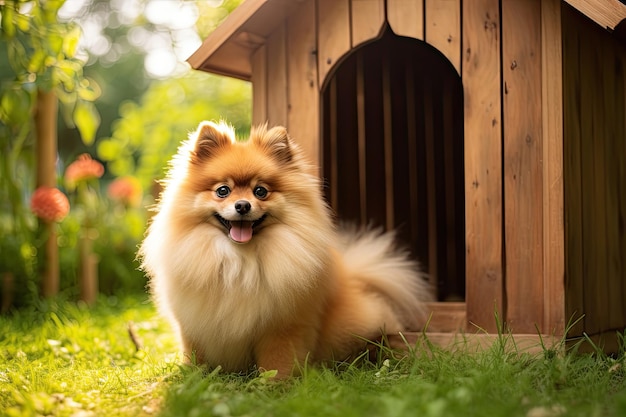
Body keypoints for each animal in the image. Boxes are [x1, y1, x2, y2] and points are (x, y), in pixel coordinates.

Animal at [138, 120, 432, 376]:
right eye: (223, 191)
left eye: (260, 191)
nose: (242, 205)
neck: (239, 259)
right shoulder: (193, 322)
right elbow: (194, 353)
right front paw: (192, 377)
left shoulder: (281, 326)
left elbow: (278, 361)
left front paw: (274, 386)